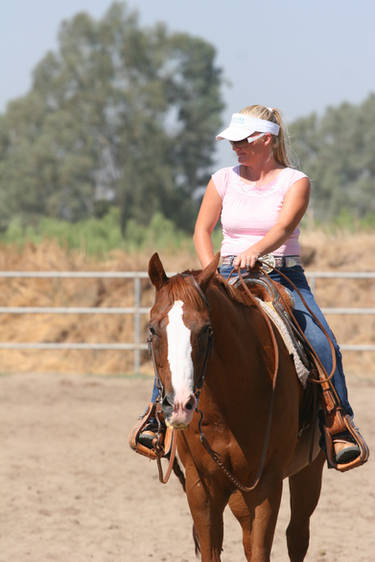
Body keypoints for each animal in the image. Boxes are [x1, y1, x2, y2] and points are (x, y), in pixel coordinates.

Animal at [148, 254, 324, 560]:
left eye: (207, 329)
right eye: (152, 328)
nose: (179, 405)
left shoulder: (267, 485)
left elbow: (260, 551)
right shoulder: (200, 486)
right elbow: (212, 550)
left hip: (310, 469)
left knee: (297, 536)